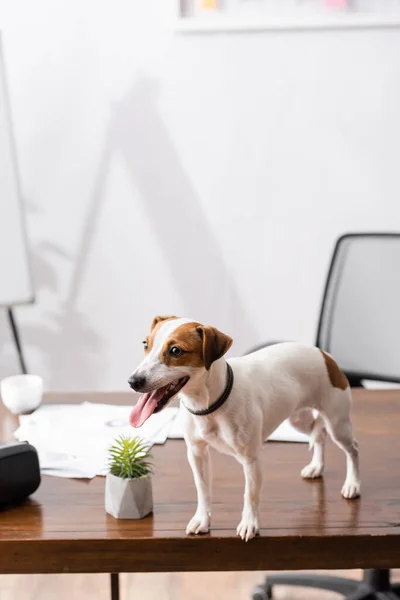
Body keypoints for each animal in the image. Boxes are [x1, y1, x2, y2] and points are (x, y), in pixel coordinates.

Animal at [130, 316, 360, 540]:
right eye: (145, 344)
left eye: (176, 351)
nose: (133, 381)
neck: (209, 404)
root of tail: (323, 354)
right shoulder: (196, 453)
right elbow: (202, 488)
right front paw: (202, 519)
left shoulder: (250, 460)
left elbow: (250, 495)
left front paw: (249, 524)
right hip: (298, 420)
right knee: (318, 433)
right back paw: (316, 466)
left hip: (337, 424)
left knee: (352, 448)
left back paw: (353, 484)